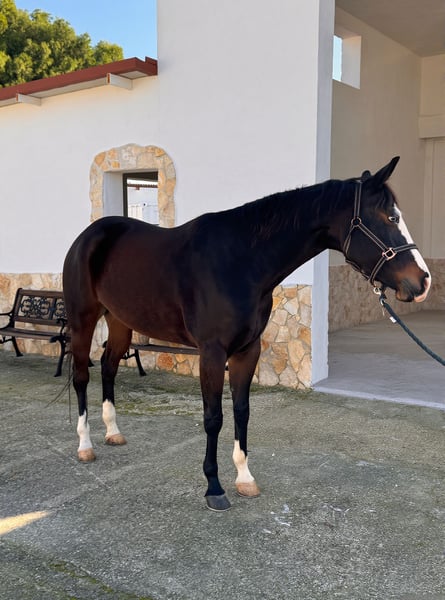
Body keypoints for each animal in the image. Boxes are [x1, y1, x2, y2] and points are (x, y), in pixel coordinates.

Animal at [63, 157, 431, 511]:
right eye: (390, 217)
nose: (423, 280)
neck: (241, 261)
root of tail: (87, 237)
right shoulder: (212, 353)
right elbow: (214, 417)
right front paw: (214, 487)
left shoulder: (248, 350)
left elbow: (242, 411)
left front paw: (244, 478)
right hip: (83, 321)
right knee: (81, 376)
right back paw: (85, 445)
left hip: (120, 322)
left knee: (109, 367)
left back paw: (113, 432)